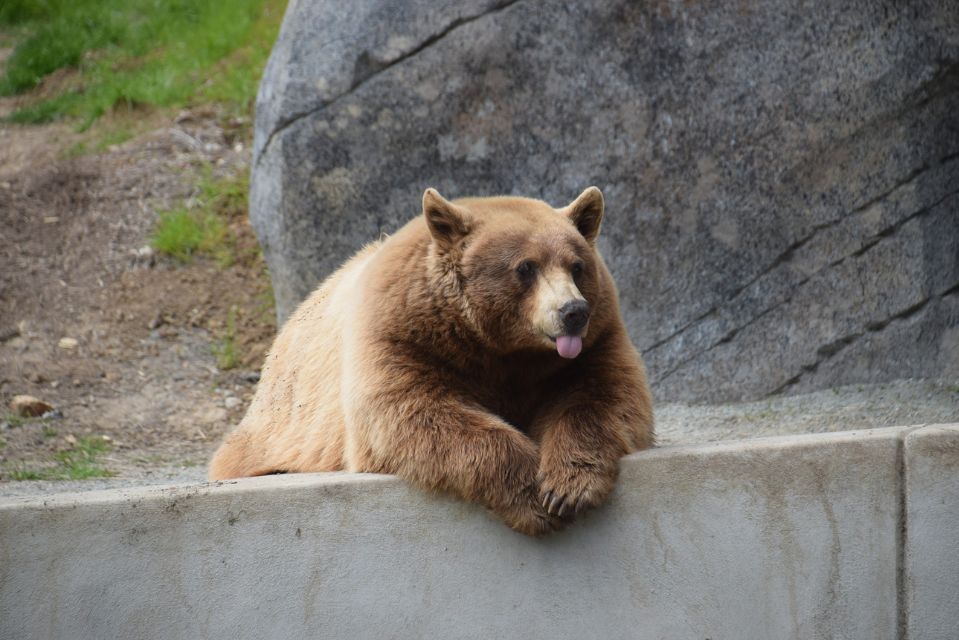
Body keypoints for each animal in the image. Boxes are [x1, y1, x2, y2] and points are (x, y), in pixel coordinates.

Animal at [209, 187, 654, 535]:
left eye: (577, 266)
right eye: (525, 267)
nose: (573, 311)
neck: (498, 346)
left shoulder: (592, 343)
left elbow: (604, 396)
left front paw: (564, 489)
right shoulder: (401, 337)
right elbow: (414, 412)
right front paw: (531, 493)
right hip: (278, 427)